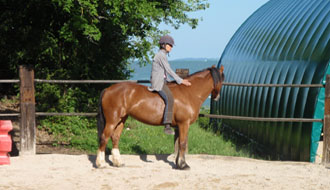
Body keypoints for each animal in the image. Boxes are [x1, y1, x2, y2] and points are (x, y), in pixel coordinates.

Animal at [95, 65, 224, 169]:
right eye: (222, 79)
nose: (217, 97)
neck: (189, 92)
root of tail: (108, 89)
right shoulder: (184, 124)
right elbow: (182, 143)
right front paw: (183, 165)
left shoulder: (180, 125)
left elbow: (179, 143)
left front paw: (178, 163)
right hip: (112, 120)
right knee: (104, 138)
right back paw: (101, 164)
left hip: (121, 120)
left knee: (115, 138)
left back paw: (118, 163)